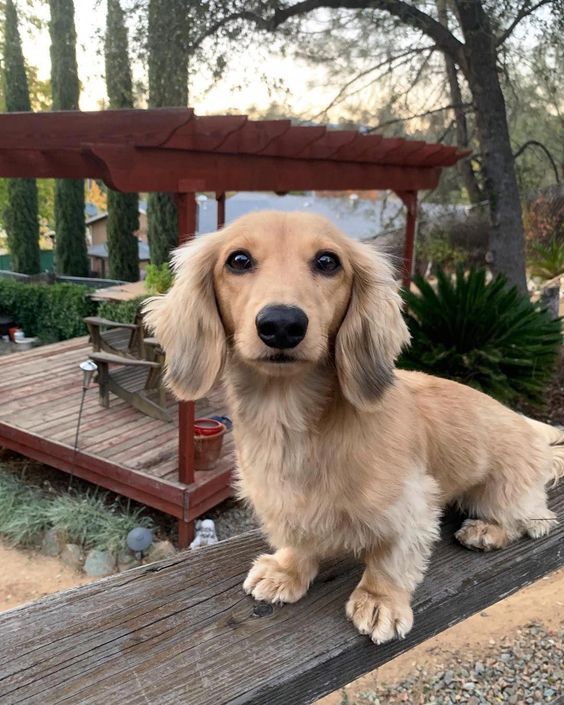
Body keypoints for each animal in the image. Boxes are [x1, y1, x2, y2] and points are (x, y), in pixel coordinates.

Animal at [147, 209, 564, 644]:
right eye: (238, 260)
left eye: (328, 261)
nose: (282, 324)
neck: (290, 420)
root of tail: (532, 432)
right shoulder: (282, 502)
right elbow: (298, 541)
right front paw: (286, 571)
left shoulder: (412, 507)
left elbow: (390, 560)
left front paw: (380, 601)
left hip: (502, 493)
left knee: (535, 521)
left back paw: (486, 531)